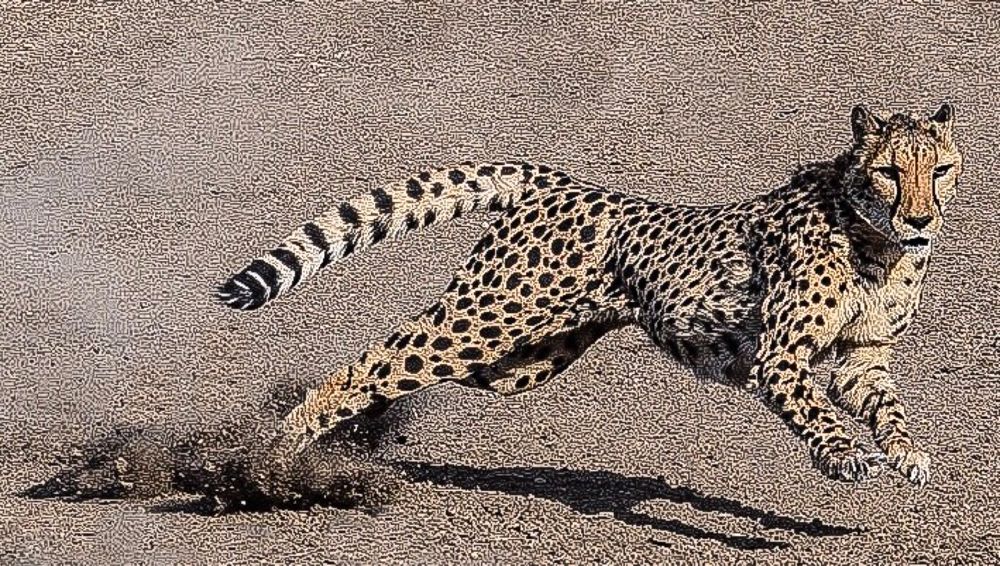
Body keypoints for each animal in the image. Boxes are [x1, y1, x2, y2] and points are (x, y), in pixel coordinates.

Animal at [218, 103, 961, 495]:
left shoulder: (862, 357)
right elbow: (816, 409)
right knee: (370, 365)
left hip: (521, 361)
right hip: (482, 321)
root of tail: (558, 182)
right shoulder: (778, 356)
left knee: (408, 369)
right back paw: (273, 455)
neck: (876, 240)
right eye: (889, 171)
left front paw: (905, 452)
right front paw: (842, 454)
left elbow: (886, 407)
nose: (921, 217)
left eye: (941, 169)